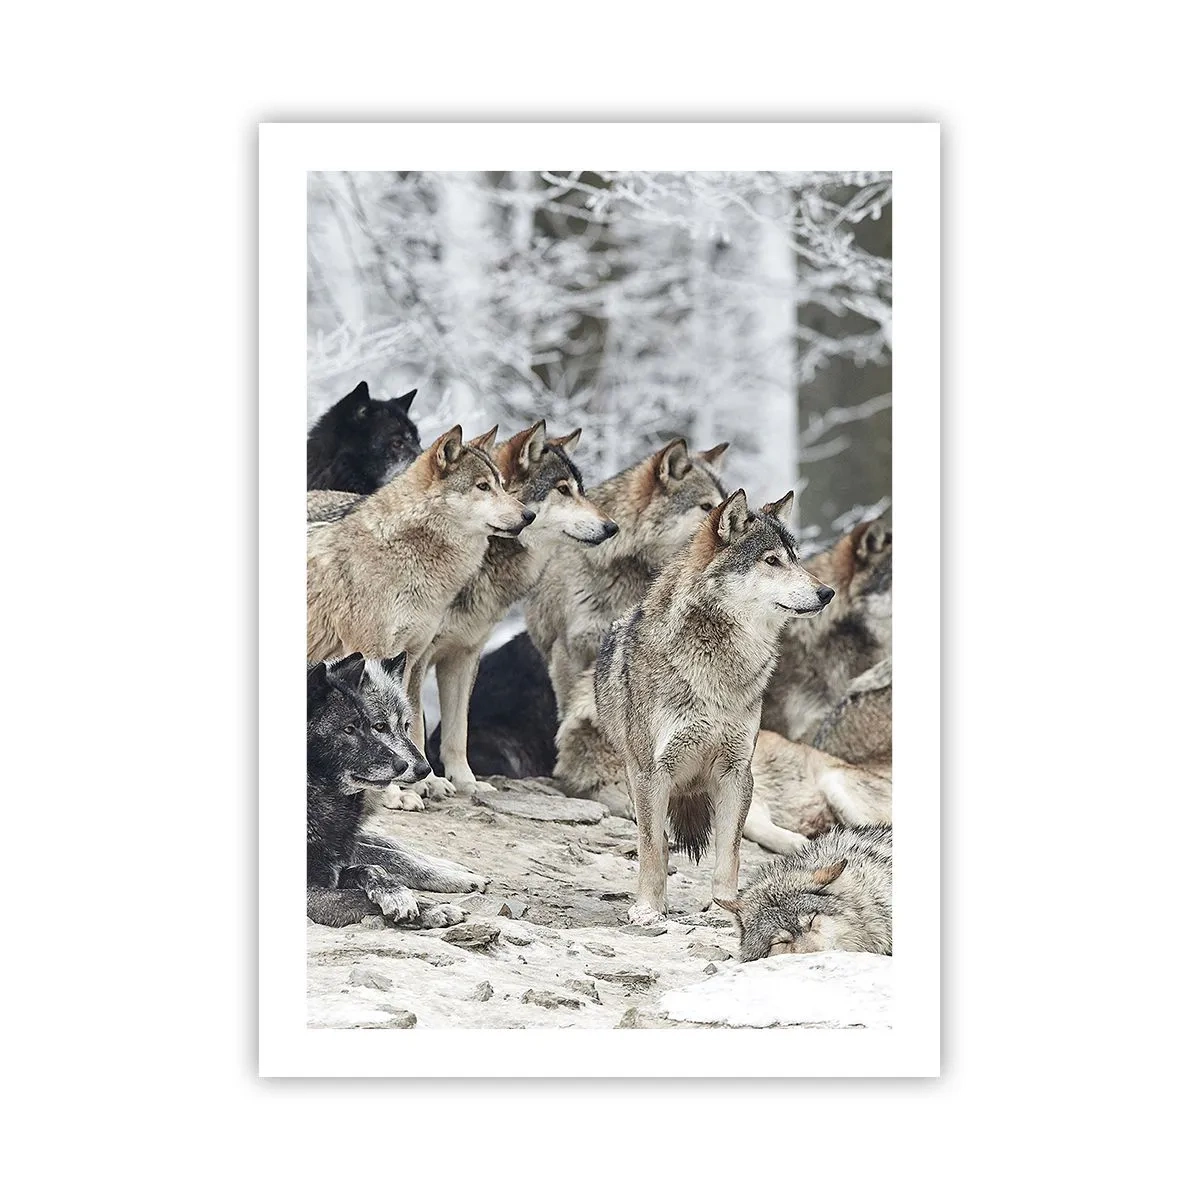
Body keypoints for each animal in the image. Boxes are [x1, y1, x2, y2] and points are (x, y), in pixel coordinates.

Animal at [306, 652, 487, 928]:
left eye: (406, 726)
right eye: (379, 726)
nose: (424, 769)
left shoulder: (348, 841)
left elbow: (393, 848)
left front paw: (454, 869)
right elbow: (390, 862)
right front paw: (437, 901)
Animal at [413, 420, 617, 795]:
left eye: (581, 490)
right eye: (563, 490)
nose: (612, 527)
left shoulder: (463, 655)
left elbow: (457, 731)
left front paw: (466, 782)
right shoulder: (415, 656)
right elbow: (415, 725)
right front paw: (429, 782)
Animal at [593, 489, 835, 925]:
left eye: (796, 558)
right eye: (771, 560)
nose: (827, 592)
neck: (718, 668)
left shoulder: (737, 773)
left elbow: (730, 854)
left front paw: (724, 909)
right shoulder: (652, 773)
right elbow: (652, 849)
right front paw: (648, 909)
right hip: (637, 782)